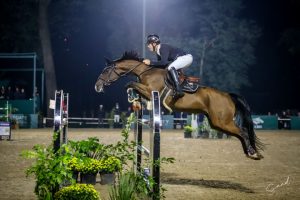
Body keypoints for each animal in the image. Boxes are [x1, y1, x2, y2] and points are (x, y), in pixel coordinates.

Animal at [95, 51, 264, 159]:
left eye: (105, 71)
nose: (97, 87)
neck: (146, 72)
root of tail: (228, 95)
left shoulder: (150, 91)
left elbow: (130, 83)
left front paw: (131, 95)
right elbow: (132, 85)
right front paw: (134, 98)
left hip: (222, 121)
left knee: (242, 132)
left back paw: (253, 153)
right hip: (216, 123)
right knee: (240, 133)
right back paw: (250, 152)